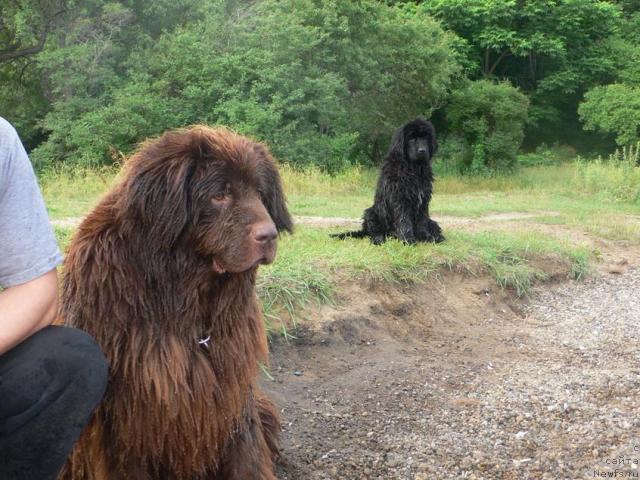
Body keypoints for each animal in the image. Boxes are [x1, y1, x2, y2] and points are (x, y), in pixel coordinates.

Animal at [57, 125, 292, 478]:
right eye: (219, 195)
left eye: (260, 193)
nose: (269, 236)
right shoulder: (125, 417)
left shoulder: (231, 385)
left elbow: (246, 450)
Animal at [336, 116, 444, 244]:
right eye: (411, 139)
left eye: (425, 138)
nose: (422, 150)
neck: (413, 168)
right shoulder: (400, 199)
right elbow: (404, 220)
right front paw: (408, 239)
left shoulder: (423, 200)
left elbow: (422, 221)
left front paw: (426, 237)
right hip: (372, 213)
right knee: (374, 231)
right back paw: (379, 239)